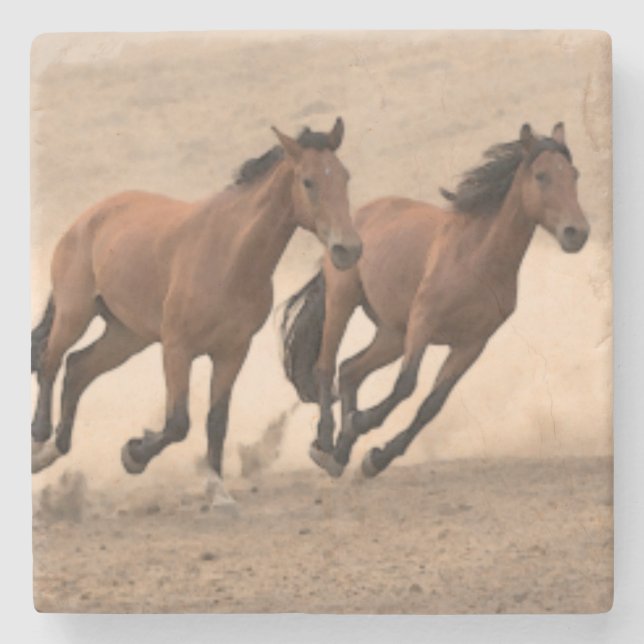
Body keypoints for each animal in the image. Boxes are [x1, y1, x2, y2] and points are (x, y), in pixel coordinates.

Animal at [31, 118, 362, 497]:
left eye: (344, 176)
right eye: (308, 181)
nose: (348, 249)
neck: (230, 256)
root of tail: (87, 217)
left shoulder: (232, 352)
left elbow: (216, 421)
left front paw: (217, 489)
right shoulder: (178, 349)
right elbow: (177, 423)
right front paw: (134, 454)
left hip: (126, 335)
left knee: (78, 368)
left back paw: (56, 448)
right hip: (75, 314)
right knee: (50, 361)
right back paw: (38, 444)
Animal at [281, 122, 590, 478]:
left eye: (574, 174)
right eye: (541, 176)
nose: (577, 233)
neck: (478, 260)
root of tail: (352, 220)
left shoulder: (471, 344)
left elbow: (432, 405)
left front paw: (376, 458)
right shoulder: (423, 323)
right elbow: (406, 385)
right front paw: (362, 424)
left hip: (392, 335)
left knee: (349, 371)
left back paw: (340, 454)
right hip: (343, 301)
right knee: (326, 366)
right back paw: (325, 444)